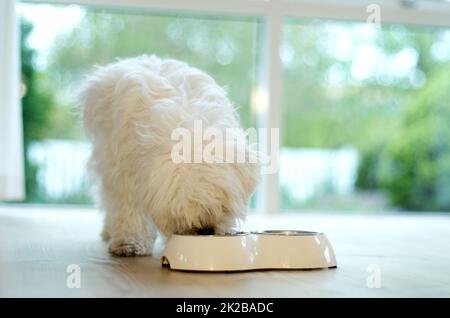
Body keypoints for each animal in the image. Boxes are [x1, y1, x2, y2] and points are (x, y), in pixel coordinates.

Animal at [79, 55, 258, 256]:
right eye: (181, 212)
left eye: (222, 206)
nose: (205, 230)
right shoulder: (124, 170)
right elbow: (129, 207)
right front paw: (130, 241)